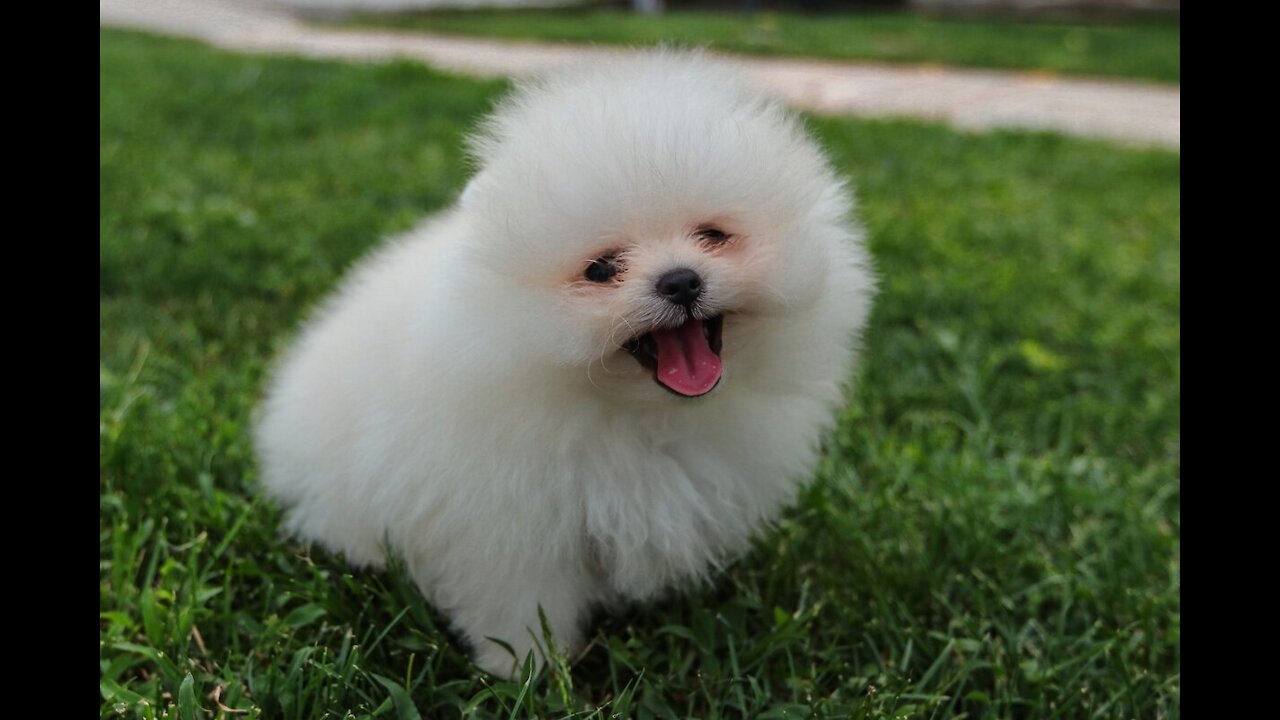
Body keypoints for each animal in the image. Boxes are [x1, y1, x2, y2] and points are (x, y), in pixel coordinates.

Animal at [259, 49, 880, 671]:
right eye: (601, 269)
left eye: (713, 235)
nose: (680, 280)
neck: (641, 415)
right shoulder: (506, 517)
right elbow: (519, 595)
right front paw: (526, 667)